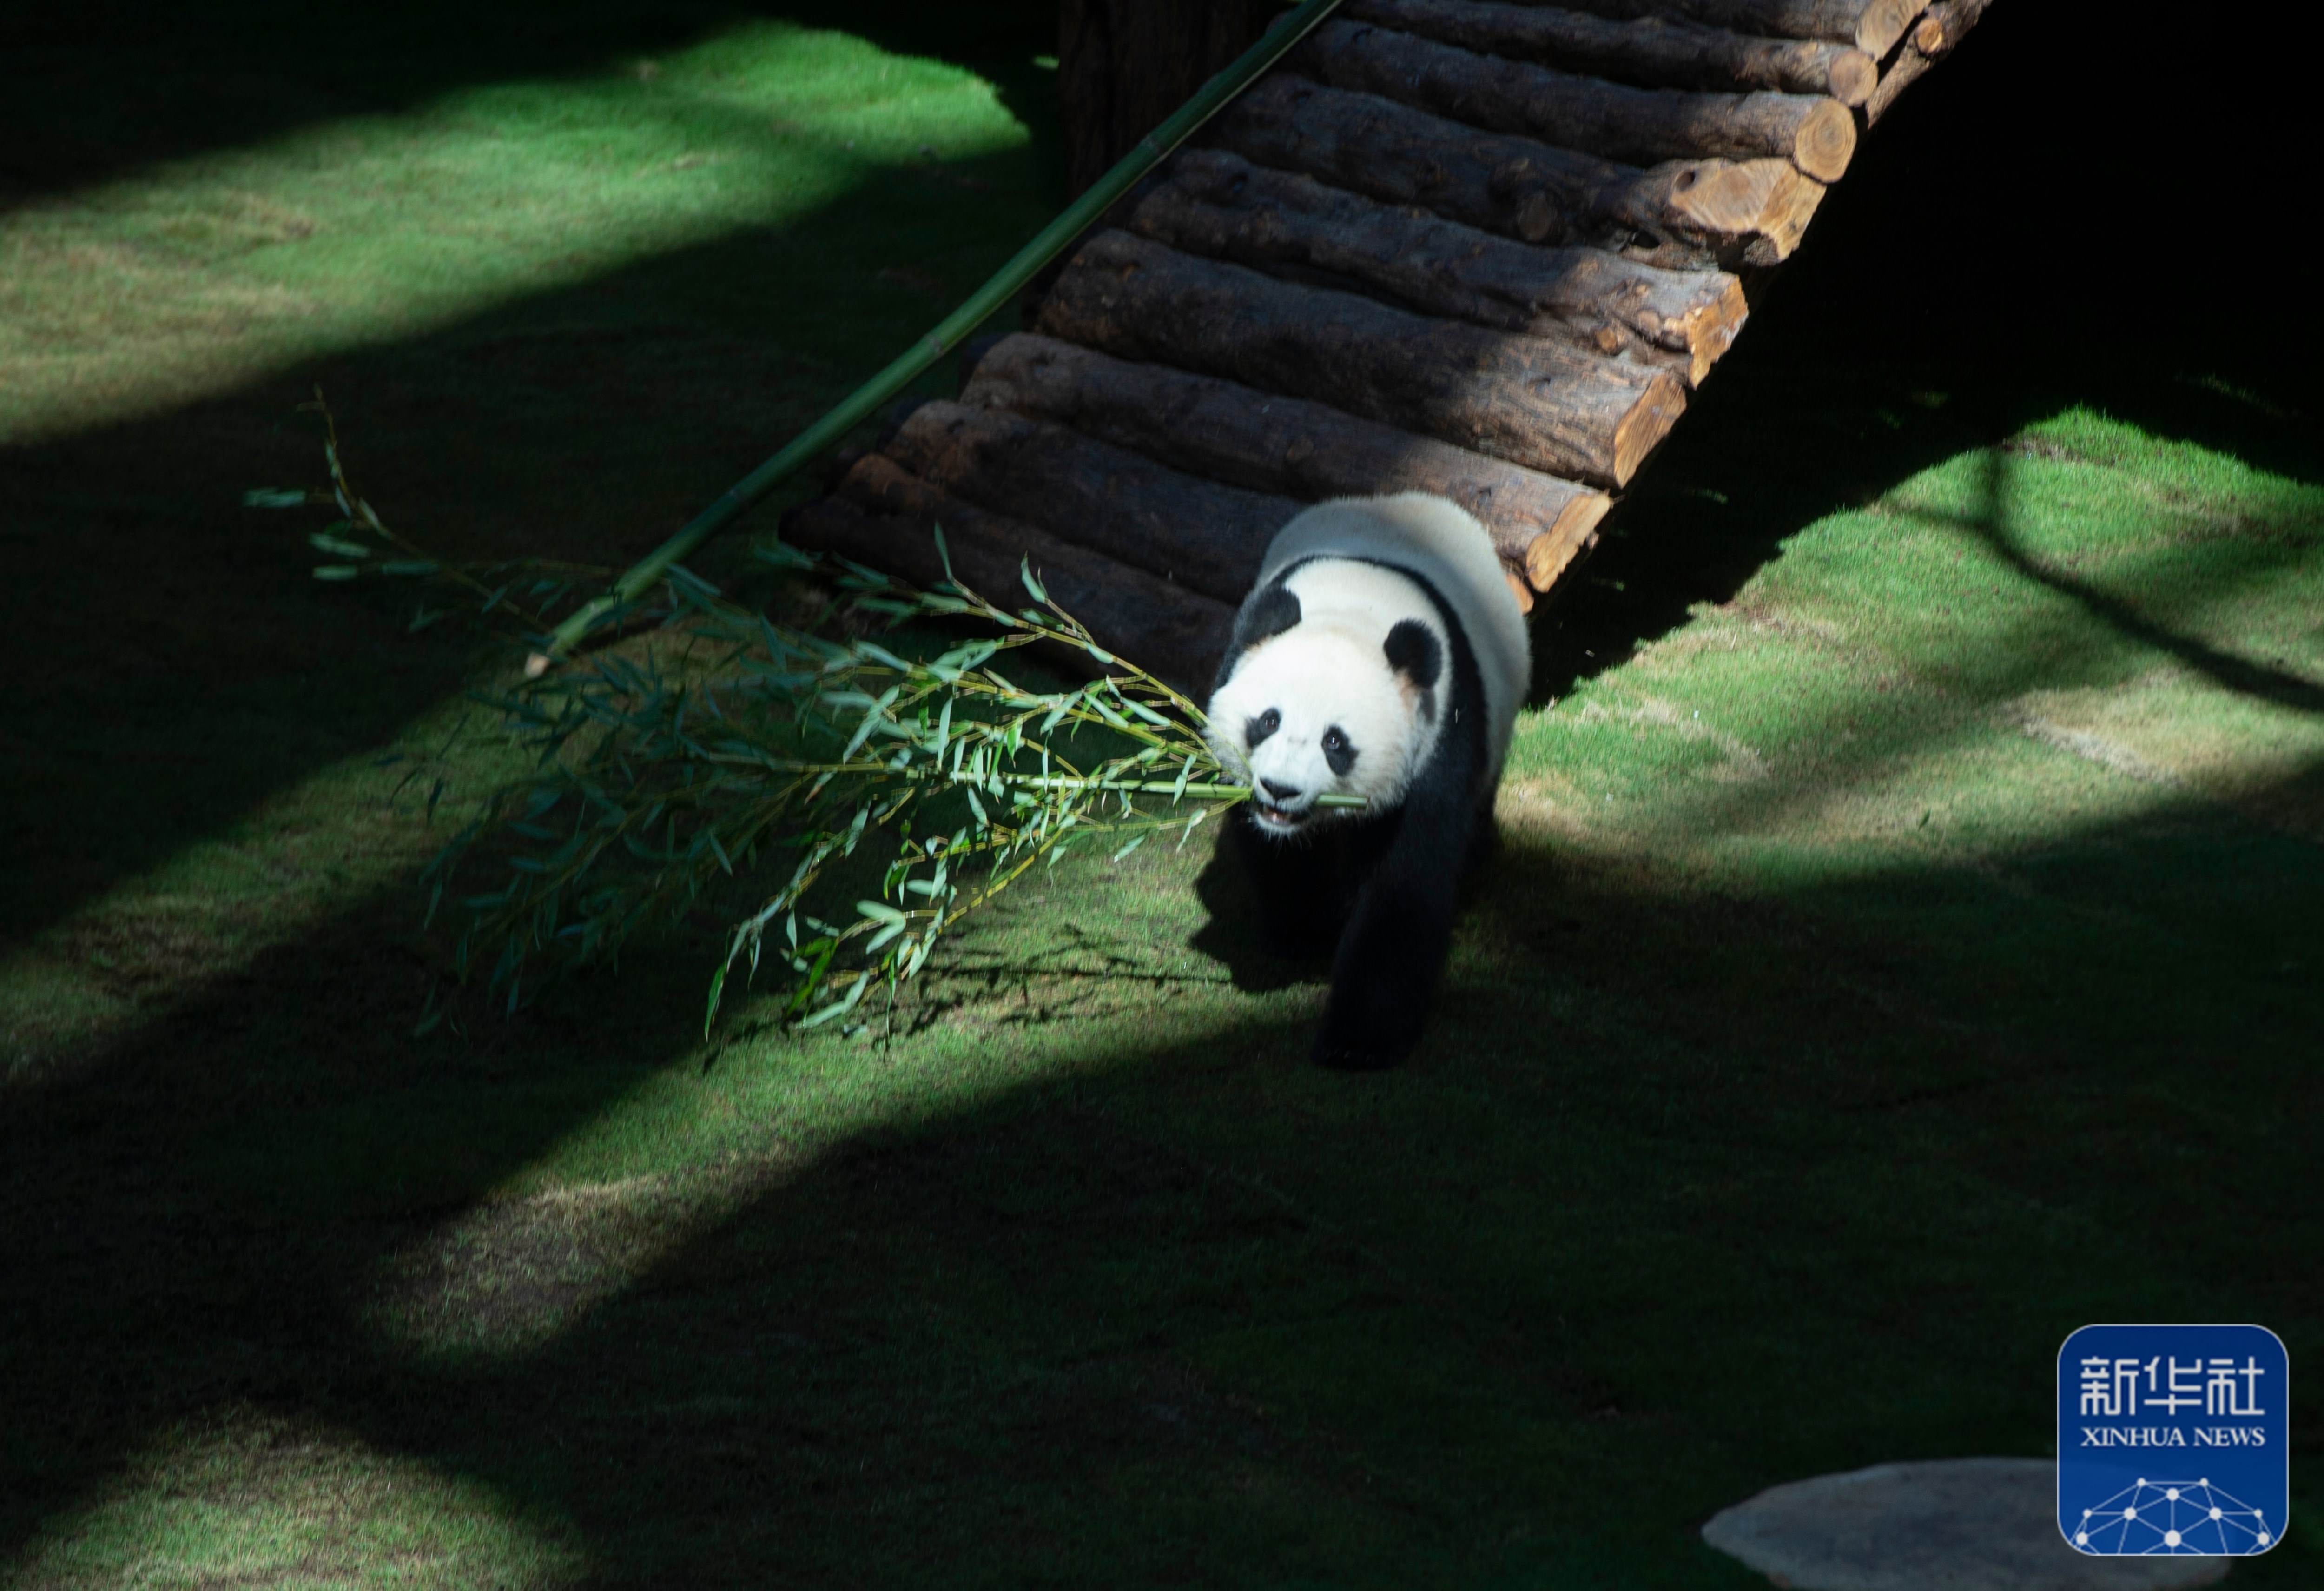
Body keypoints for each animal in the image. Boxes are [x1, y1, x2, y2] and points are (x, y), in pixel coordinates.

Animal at [1208, 491, 1534, 1074]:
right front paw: (1303, 933)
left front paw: (1357, 1041)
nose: (1280, 789)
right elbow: (1278, 854)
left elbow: (1403, 881)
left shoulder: (1439, 730)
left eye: (1335, 742)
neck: (1353, 609)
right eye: (1267, 720)